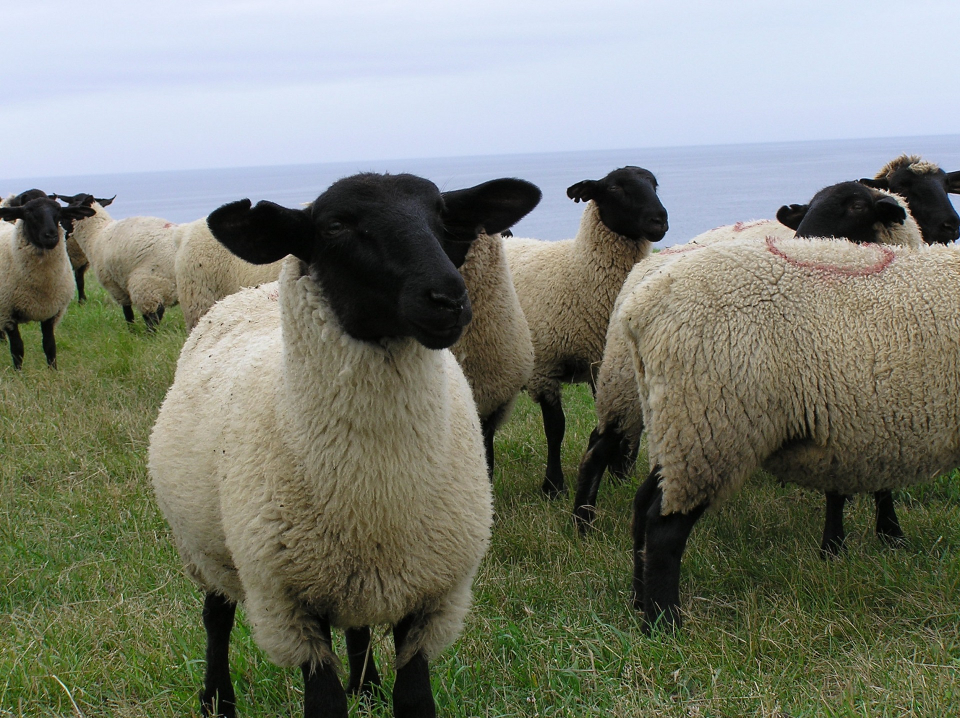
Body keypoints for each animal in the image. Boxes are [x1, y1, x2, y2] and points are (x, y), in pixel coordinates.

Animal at [0, 198, 95, 372]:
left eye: (58, 211)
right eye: (28, 212)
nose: (51, 236)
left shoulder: (51, 311)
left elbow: (49, 346)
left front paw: (53, 372)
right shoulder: (8, 312)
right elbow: (17, 349)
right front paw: (19, 373)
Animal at [59, 195, 178, 334]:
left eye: (68, 212)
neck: (96, 234)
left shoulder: (114, 285)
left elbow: (128, 312)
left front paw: (131, 331)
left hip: (148, 283)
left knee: (154, 315)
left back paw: (150, 334)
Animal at [147, 172, 544, 716]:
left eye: (444, 216)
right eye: (335, 225)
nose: (448, 298)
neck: (373, 494)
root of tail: (248, 291)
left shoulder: (431, 598)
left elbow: (415, 700)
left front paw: (377, 690)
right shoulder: (289, 606)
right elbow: (325, 703)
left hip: (355, 578)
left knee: (356, 627)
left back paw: (368, 686)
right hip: (205, 546)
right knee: (217, 617)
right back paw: (217, 701)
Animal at [502, 166, 668, 498]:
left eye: (655, 185)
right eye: (615, 188)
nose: (660, 220)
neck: (578, 271)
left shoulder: (604, 366)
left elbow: (622, 422)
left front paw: (620, 476)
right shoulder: (545, 367)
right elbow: (556, 428)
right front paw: (553, 486)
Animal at [616, 232, 960, 636]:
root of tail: (641, 307)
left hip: (674, 422)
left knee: (644, 504)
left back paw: (639, 601)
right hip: (710, 420)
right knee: (663, 525)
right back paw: (663, 622)